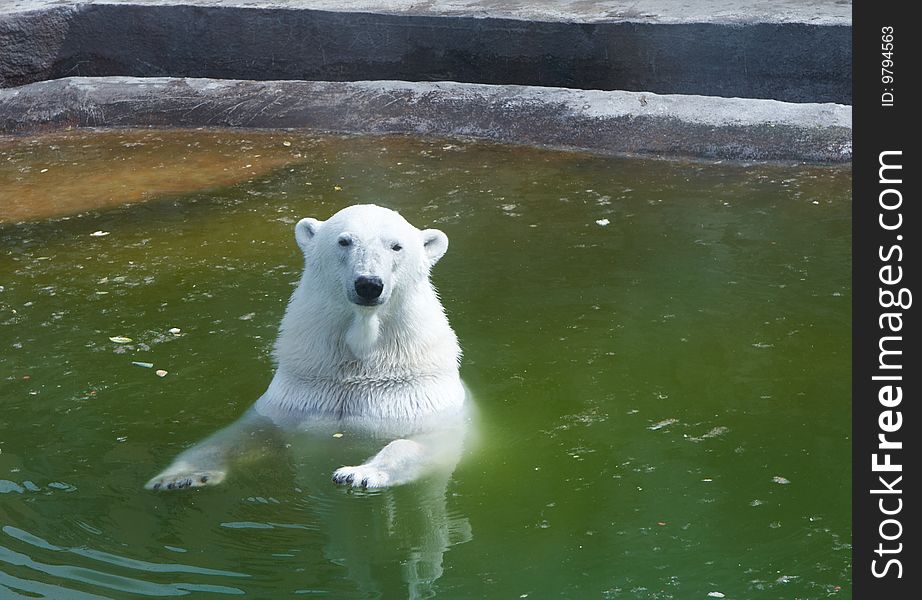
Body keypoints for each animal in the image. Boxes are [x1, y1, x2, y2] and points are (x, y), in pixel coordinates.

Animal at [149, 204, 474, 490]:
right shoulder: (300, 396)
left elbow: (422, 445)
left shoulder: (416, 401)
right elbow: (241, 435)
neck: (361, 362)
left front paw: (358, 474)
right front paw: (179, 477)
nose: (368, 284)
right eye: (344, 240)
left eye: (396, 246)